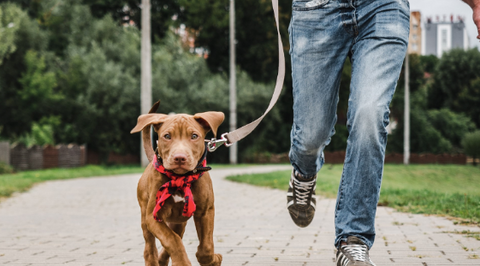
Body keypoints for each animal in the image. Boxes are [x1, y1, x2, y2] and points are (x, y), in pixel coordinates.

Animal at [131, 101, 225, 264]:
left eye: (194, 136)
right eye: (167, 136)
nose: (180, 158)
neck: (180, 178)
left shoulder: (206, 211)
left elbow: (206, 247)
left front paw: (214, 259)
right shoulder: (153, 217)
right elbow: (172, 240)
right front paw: (182, 262)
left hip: (179, 222)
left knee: (172, 240)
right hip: (145, 216)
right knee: (150, 248)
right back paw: (154, 260)